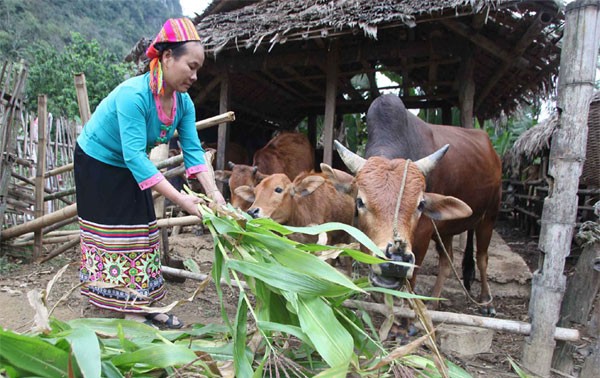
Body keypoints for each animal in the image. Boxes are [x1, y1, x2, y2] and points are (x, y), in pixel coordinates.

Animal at [338, 94, 502, 316]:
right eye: (360, 201)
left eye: (420, 204)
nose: (395, 261)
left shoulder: (423, 235)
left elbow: (412, 285)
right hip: (446, 229)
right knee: (447, 261)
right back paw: (434, 302)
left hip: (490, 216)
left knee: (483, 257)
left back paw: (486, 302)